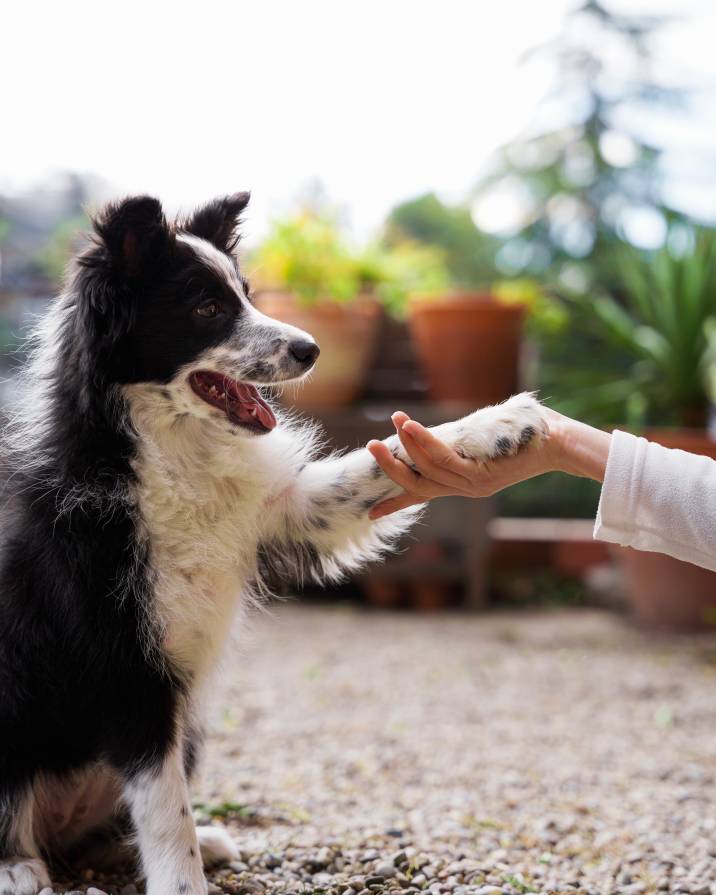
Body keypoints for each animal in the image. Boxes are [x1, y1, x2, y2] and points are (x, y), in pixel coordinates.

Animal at [0, 196, 544, 895]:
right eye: (206, 308)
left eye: (247, 295)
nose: (311, 349)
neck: (162, 450)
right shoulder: (126, 668)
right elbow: (164, 813)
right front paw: (184, 885)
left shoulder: (283, 511)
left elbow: (383, 459)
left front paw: (502, 422)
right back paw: (19, 868)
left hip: (189, 727)